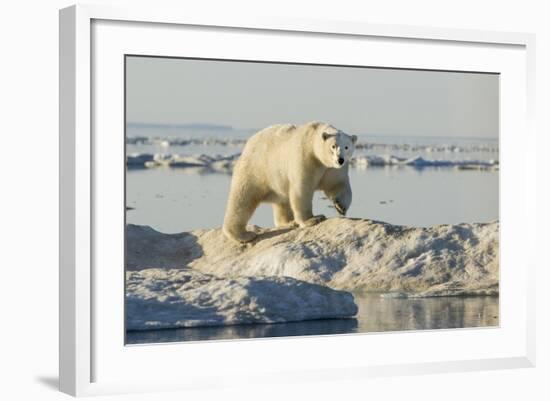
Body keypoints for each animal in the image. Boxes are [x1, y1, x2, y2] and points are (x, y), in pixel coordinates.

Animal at [223, 121, 358, 244]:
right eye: (333, 146)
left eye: (346, 147)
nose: (340, 159)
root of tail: (248, 144)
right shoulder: (305, 158)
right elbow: (302, 189)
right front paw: (313, 219)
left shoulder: (332, 169)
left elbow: (337, 184)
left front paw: (340, 207)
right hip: (256, 169)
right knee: (243, 198)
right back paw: (243, 235)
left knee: (282, 201)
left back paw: (289, 222)